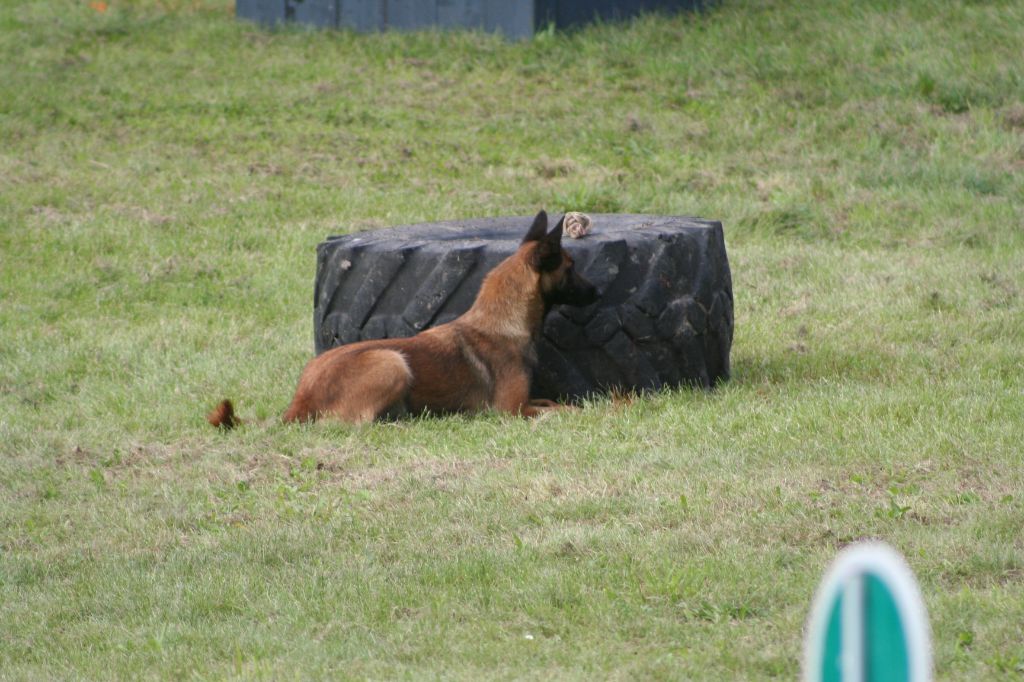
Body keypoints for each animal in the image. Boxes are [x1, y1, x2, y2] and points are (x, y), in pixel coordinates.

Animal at [207, 209, 598, 428]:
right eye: (571, 268)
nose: (597, 292)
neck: (501, 322)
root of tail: (300, 400)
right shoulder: (511, 410)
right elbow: (562, 410)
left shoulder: (528, 402)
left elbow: (555, 403)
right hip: (391, 361)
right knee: (354, 423)